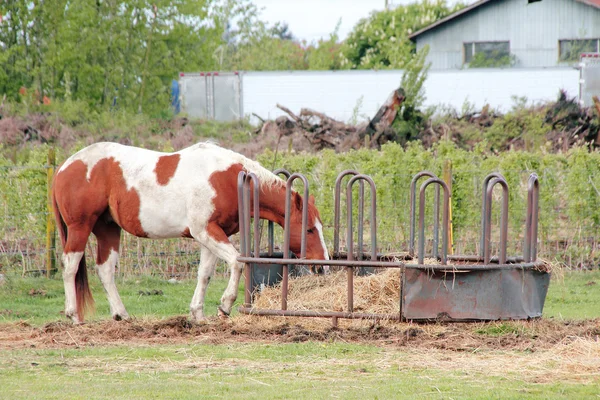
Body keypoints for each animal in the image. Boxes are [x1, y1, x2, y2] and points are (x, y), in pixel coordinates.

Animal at [52, 142, 330, 324]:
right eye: (308, 229)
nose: (323, 265)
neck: (227, 178)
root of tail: (64, 167)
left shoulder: (209, 236)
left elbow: (204, 274)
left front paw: (197, 313)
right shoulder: (205, 231)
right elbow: (237, 262)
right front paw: (225, 306)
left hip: (108, 229)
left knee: (105, 270)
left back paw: (121, 314)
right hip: (80, 228)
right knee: (70, 266)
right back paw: (74, 315)